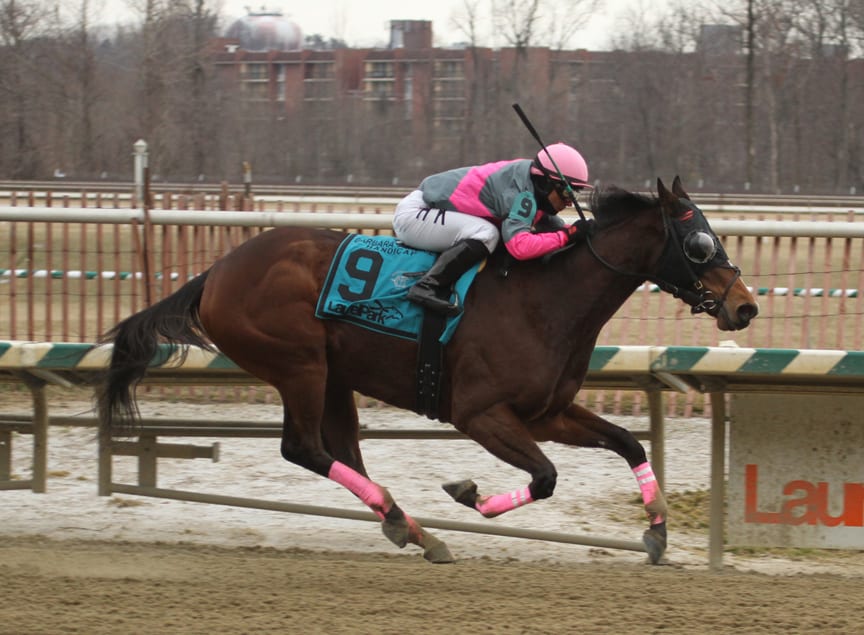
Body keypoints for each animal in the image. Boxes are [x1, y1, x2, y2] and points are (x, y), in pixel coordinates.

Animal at [99, 176, 756, 564]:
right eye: (699, 242)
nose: (745, 306)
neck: (545, 299)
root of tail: (217, 271)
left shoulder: (546, 413)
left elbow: (628, 443)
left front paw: (658, 530)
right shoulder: (479, 413)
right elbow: (545, 477)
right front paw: (469, 494)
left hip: (335, 377)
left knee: (339, 450)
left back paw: (408, 527)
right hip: (299, 365)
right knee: (303, 448)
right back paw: (410, 525)